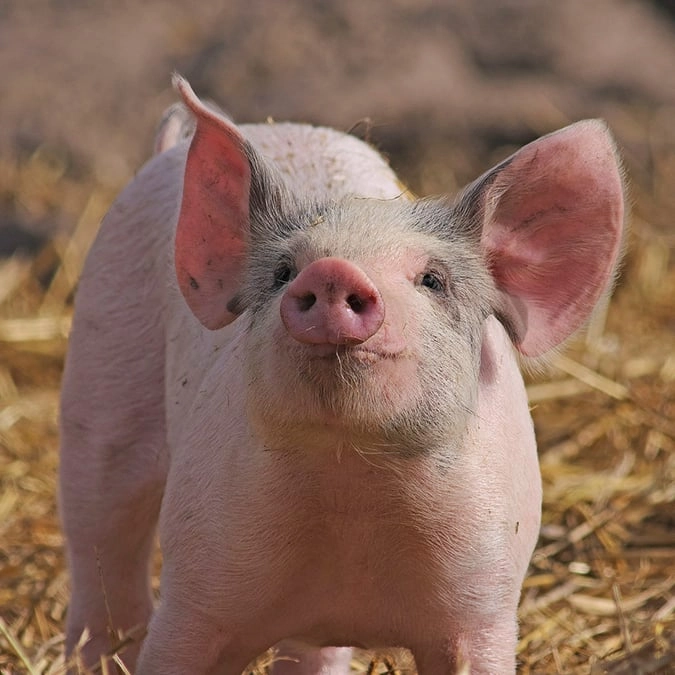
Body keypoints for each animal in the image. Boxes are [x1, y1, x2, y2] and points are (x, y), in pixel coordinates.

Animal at [59, 74, 625, 675]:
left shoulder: (484, 607)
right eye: (283, 272)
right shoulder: (196, 590)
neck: (351, 487)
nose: (332, 271)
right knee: (100, 537)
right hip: (103, 373)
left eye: (433, 279)